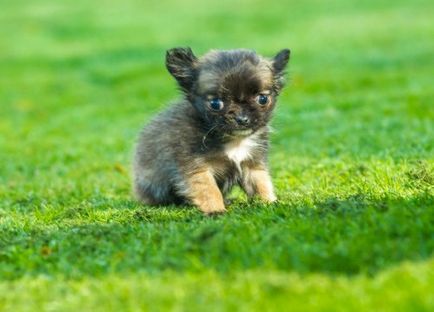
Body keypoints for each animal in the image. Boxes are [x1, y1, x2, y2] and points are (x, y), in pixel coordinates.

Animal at [134, 48, 290, 214]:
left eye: (262, 99)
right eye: (215, 103)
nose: (242, 119)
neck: (234, 140)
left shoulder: (252, 164)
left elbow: (261, 185)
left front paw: (270, 203)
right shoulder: (198, 170)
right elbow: (209, 191)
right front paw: (216, 211)